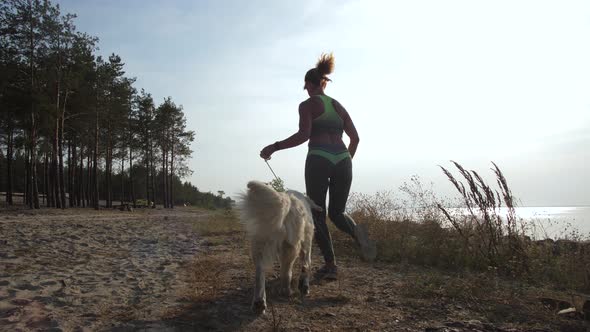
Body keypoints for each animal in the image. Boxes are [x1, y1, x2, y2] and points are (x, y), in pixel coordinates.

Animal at [238, 182, 322, 314]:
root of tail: (287, 201)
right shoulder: (307, 242)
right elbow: (306, 264)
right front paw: (304, 285)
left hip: (261, 241)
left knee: (260, 272)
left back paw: (259, 302)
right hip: (291, 246)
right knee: (287, 271)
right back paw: (286, 290)